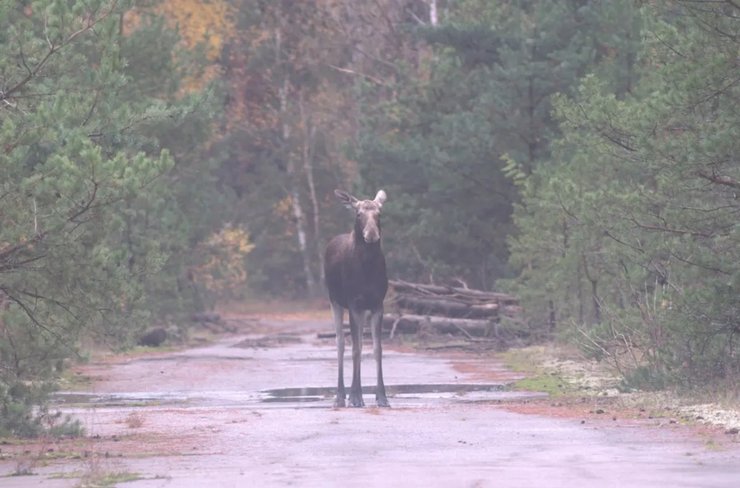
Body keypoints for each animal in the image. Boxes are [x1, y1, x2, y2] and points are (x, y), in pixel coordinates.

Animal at [324, 189, 389, 408]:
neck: (368, 269)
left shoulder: (377, 304)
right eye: (358, 213)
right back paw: (340, 395)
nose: (371, 234)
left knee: (358, 341)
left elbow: (376, 349)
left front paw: (382, 396)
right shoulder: (353, 303)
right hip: (334, 301)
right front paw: (355, 396)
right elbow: (355, 349)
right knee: (341, 343)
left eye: (379, 213)